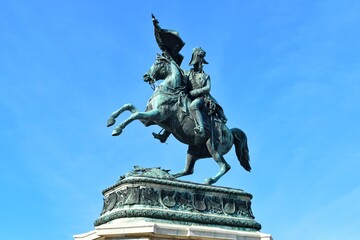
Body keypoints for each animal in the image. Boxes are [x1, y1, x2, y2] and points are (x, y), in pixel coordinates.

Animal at [106, 54, 250, 186]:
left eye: (158, 63)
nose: (145, 76)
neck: (170, 91)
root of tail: (230, 132)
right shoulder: (149, 120)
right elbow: (129, 107)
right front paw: (111, 120)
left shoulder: (157, 115)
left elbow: (134, 115)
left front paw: (117, 129)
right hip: (194, 151)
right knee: (188, 170)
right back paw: (170, 176)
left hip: (213, 146)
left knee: (225, 166)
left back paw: (208, 180)